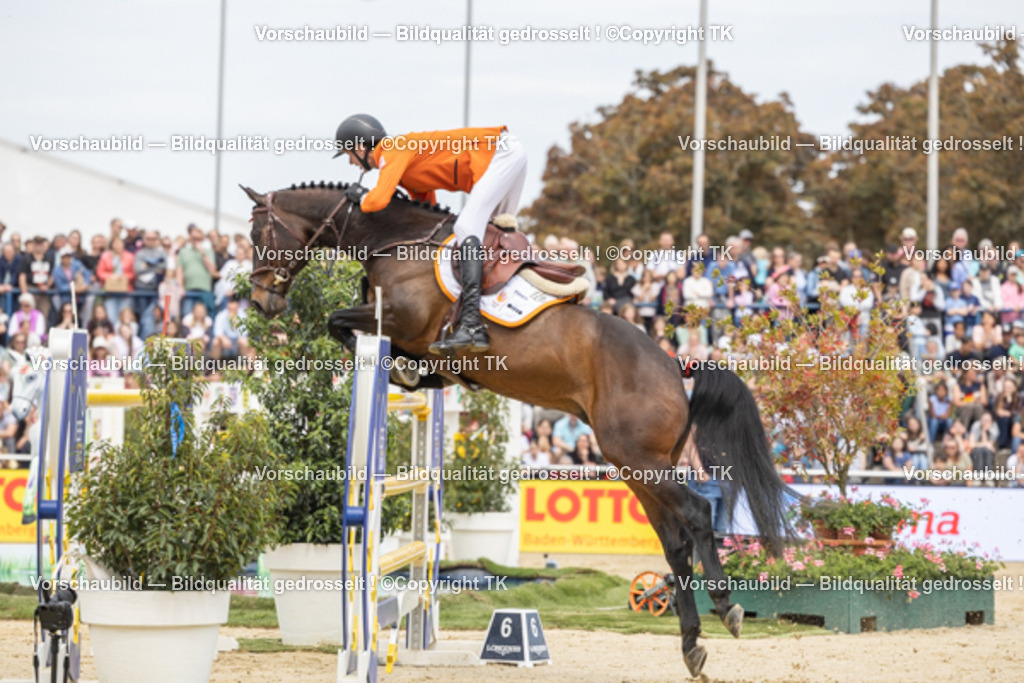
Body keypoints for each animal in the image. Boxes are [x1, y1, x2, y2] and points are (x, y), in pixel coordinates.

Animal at [242, 181, 793, 678]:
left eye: (258, 233)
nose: (262, 302)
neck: (396, 241)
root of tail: (675, 365)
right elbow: (374, 340)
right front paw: (416, 374)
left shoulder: (399, 319)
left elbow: (338, 321)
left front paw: (404, 370)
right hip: (634, 465)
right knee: (675, 544)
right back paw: (692, 646)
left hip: (642, 461)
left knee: (698, 514)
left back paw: (727, 608)